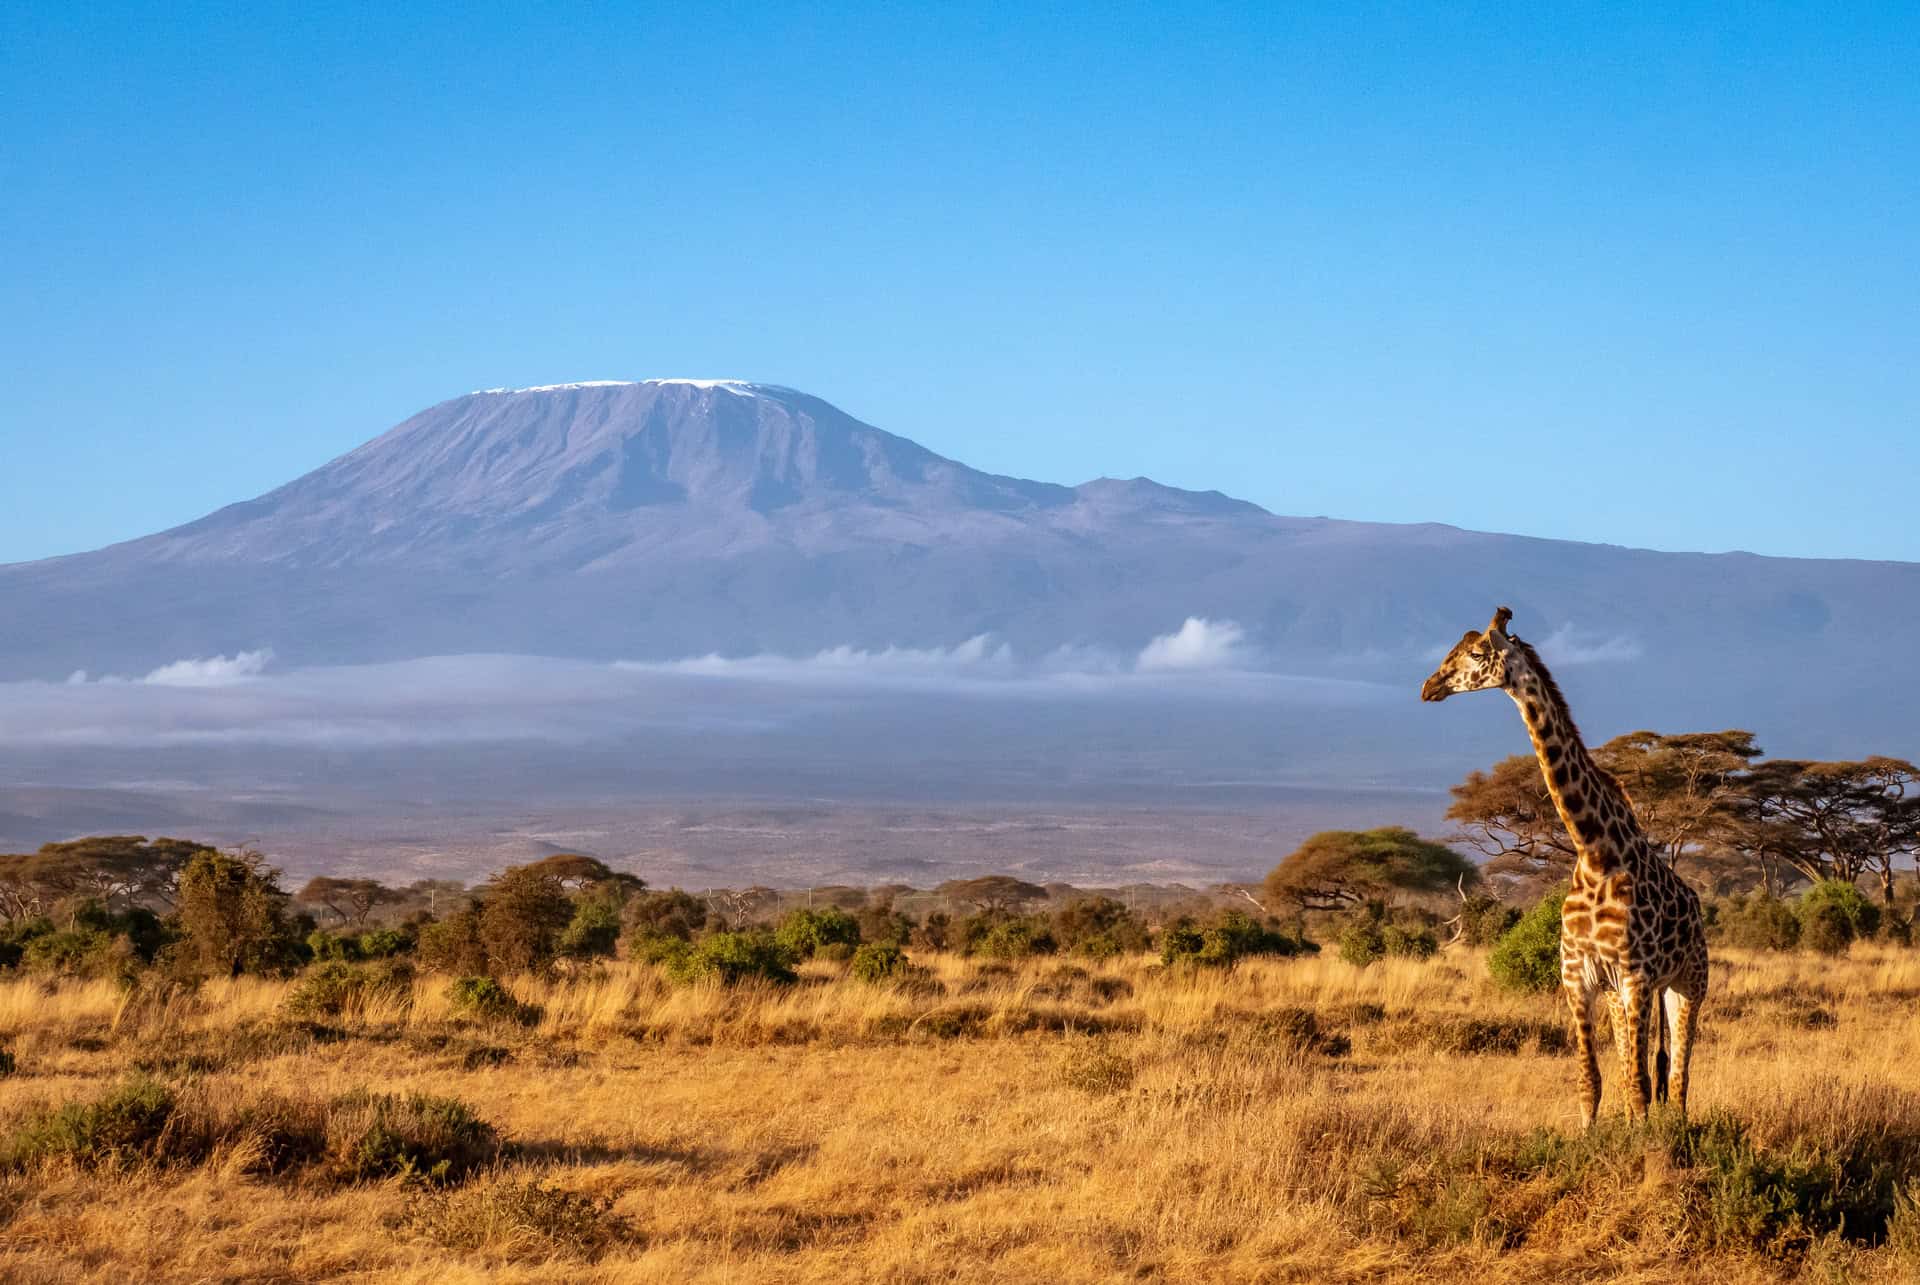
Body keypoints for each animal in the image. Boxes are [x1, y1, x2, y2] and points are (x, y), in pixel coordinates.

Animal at [1428, 606, 1712, 1114]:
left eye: (1476, 653)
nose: (1428, 687)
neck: (1595, 850)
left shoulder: (1636, 975)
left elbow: (1641, 1084)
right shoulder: (1578, 977)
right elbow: (1593, 1082)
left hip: (1687, 982)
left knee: (1678, 1079)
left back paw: (1677, 1126)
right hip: (1624, 995)